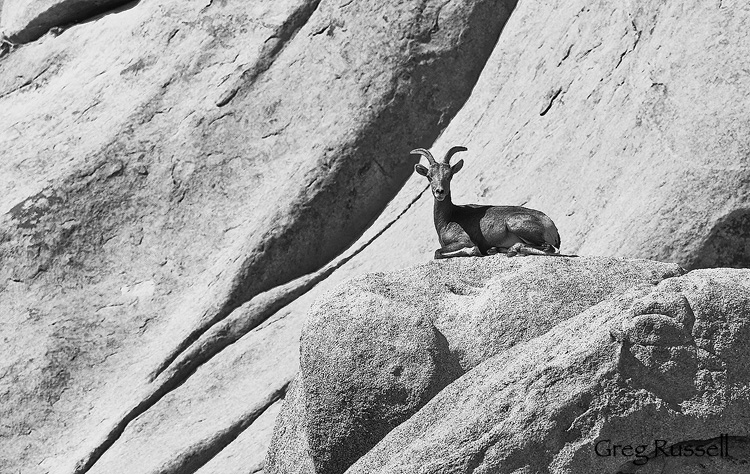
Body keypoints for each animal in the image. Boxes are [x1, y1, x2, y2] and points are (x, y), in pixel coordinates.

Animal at [412, 146, 563, 259]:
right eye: (429, 176)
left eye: (450, 175)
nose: (440, 192)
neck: (448, 219)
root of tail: (552, 227)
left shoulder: (464, 240)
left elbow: (438, 252)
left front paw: (473, 251)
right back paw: (496, 249)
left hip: (514, 223)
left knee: (550, 248)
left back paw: (512, 250)